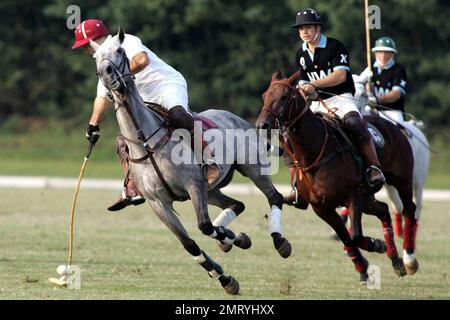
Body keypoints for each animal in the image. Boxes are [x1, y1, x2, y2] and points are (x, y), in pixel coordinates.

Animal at [256, 70, 418, 282]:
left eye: (284, 96)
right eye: (264, 96)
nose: (262, 125)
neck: (315, 150)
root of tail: (393, 126)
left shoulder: (353, 196)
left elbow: (355, 235)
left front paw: (376, 245)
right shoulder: (322, 207)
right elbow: (346, 237)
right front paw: (363, 266)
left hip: (401, 179)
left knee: (409, 210)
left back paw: (409, 259)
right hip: (367, 198)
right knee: (383, 209)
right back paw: (396, 261)